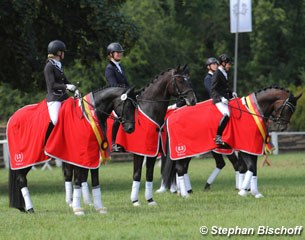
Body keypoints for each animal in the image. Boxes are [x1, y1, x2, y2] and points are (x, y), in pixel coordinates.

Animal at [7, 86, 136, 214]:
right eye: (127, 106)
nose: (130, 128)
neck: (89, 117)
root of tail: (13, 117)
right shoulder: (78, 155)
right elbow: (78, 180)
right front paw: (78, 209)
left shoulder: (93, 153)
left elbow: (94, 179)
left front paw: (99, 208)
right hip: (26, 158)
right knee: (21, 179)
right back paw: (30, 208)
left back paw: (23, 208)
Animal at [111, 65, 195, 206]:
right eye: (180, 80)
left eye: (189, 79)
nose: (193, 100)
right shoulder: (139, 152)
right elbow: (137, 174)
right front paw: (135, 201)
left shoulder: (153, 152)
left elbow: (149, 175)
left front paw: (150, 200)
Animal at [162, 86, 302, 199]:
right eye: (287, 108)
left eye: (293, 110)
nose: (282, 127)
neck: (252, 113)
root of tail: (171, 117)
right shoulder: (246, 147)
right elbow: (250, 168)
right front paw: (243, 191)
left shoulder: (252, 148)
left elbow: (253, 169)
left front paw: (254, 193)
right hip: (184, 149)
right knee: (181, 168)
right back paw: (185, 194)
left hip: (191, 151)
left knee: (182, 168)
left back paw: (183, 192)